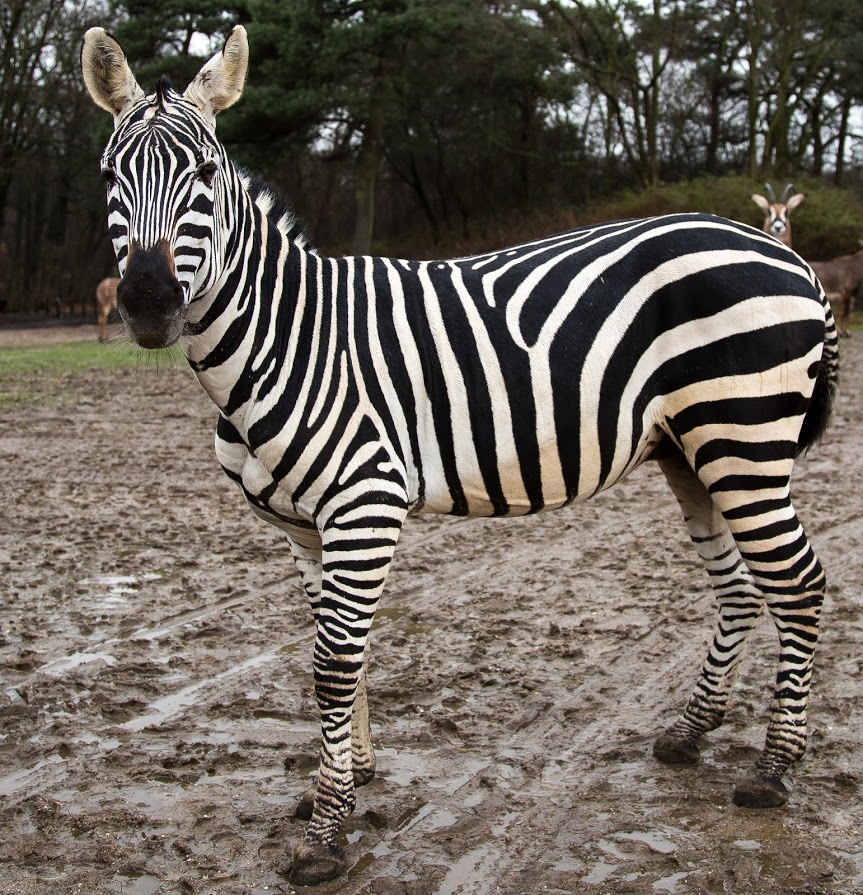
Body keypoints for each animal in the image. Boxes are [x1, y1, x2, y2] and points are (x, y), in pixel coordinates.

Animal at [82, 25, 839, 886]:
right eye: (108, 175)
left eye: (206, 173)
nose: (147, 303)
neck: (287, 336)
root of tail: (786, 257)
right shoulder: (304, 527)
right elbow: (342, 653)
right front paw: (347, 778)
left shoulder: (364, 503)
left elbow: (332, 662)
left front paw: (326, 834)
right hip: (692, 449)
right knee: (740, 585)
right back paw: (688, 731)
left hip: (745, 438)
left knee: (798, 584)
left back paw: (773, 769)